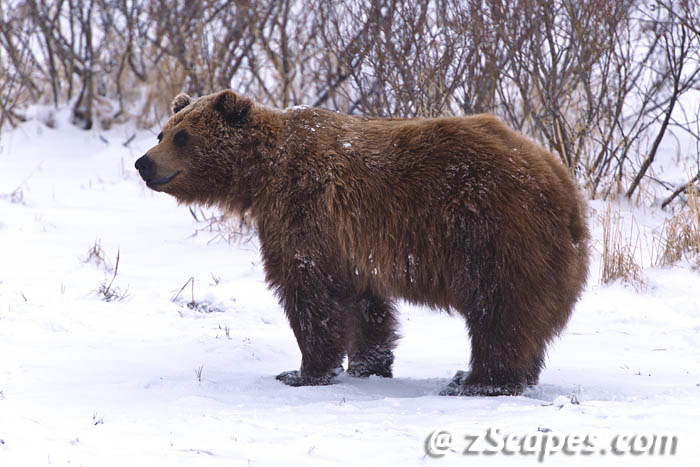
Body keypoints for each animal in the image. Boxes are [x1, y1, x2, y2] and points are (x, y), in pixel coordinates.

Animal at [135, 89, 589, 396]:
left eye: (182, 137)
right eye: (162, 132)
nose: (143, 163)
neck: (263, 174)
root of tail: (562, 184)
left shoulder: (305, 208)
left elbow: (307, 290)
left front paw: (302, 372)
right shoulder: (350, 240)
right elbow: (363, 303)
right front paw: (368, 363)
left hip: (492, 232)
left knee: (499, 311)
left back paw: (478, 381)